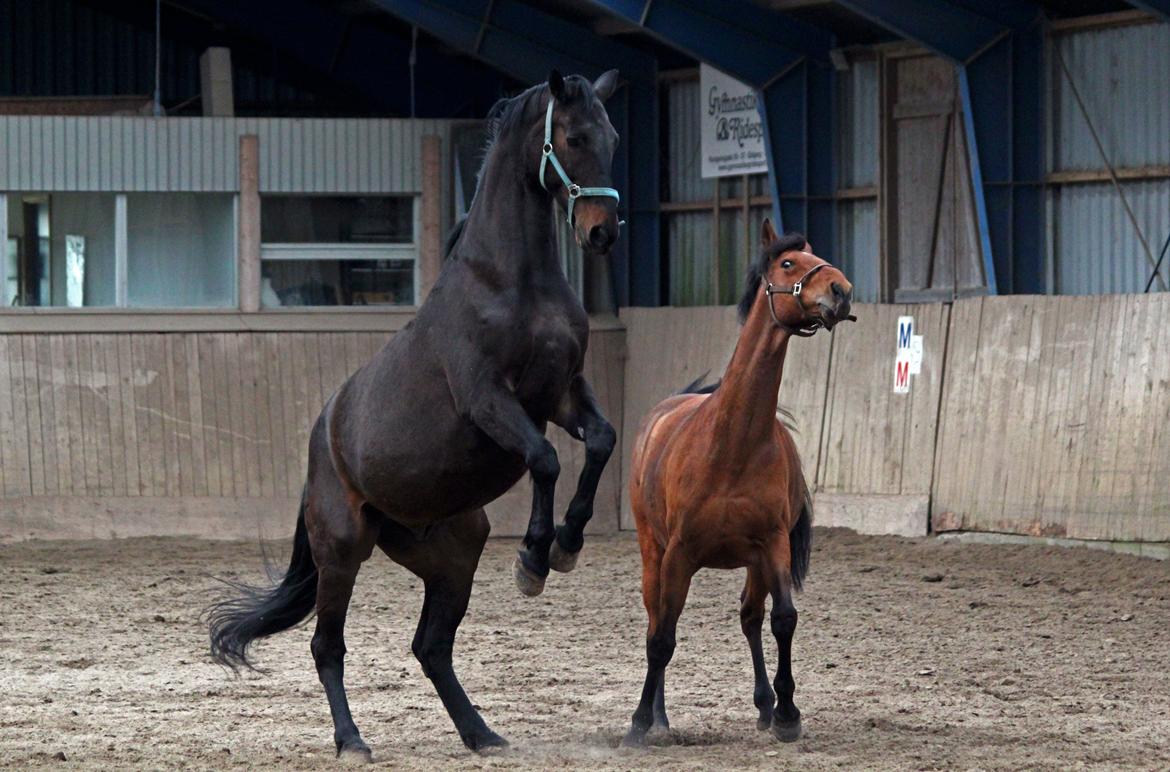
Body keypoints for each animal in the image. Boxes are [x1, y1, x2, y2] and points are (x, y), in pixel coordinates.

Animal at [203, 72, 622, 757]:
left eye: (611, 138)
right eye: (574, 137)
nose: (602, 232)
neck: (511, 284)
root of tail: (322, 445)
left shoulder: (562, 393)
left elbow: (603, 441)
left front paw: (568, 543)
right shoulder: (489, 399)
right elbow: (545, 458)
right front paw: (535, 557)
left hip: (452, 554)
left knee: (431, 647)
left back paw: (481, 733)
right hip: (342, 551)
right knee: (328, 646)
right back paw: (352, 740)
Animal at [627, 219, 856, 743]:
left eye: (817, 254)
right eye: (788, 263)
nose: (842, 290)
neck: (732, 443)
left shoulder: (772, 544)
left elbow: (783, 620)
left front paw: (788, 713)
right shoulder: (679, 554)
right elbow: (662, 638)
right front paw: (640, 721)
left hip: (753, 562)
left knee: (751, 618)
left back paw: (766, 707)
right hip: (654, 551)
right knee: (656, 621)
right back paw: (660, 717)